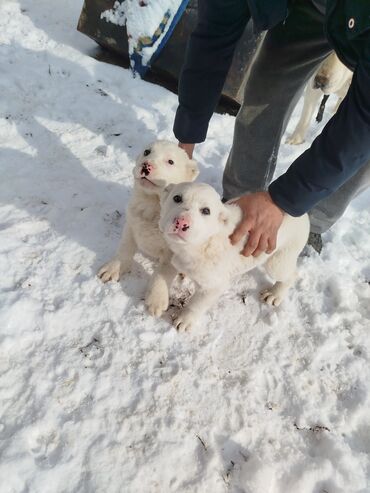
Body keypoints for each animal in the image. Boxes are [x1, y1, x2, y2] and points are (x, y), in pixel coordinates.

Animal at [97, 139, 198, 316]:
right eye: (146, 152)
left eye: (170, 161)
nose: (146, 165)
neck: (153, 204)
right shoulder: (132, 223)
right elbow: (125, 248)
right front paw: (112, 269)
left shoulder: (173, 248)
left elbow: (163, 271)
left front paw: (156, 300)